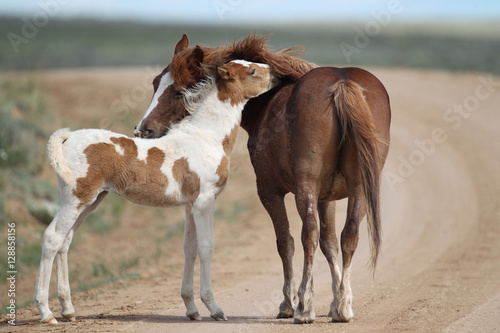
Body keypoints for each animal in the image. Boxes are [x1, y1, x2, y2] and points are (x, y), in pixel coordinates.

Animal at [33, 59, 276, 322]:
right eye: (252, 70)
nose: (274, 75)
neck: (206, 138)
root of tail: (66, 137)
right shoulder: (205, 201)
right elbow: (206, 247)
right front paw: (214, 309)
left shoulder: (190, 205)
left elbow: (189, 248)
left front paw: (192, 309)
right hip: (76, 198)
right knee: (52, 238)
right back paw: (46, 312)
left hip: (91, 200)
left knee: (65, 241)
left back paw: (68, 310)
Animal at [136, 33, 390, 322]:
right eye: (155, 83)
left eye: (179, 91)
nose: (143, 129)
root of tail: (342, 82)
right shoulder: (328, 196)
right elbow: (330, 243)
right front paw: (338, 301)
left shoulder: (270, 192)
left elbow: (286, 242)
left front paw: (289, 303)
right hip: (359, 188)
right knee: (350, 235)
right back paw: (344, 307)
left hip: (307, 188)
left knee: (308, 234)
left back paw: (304, 307)